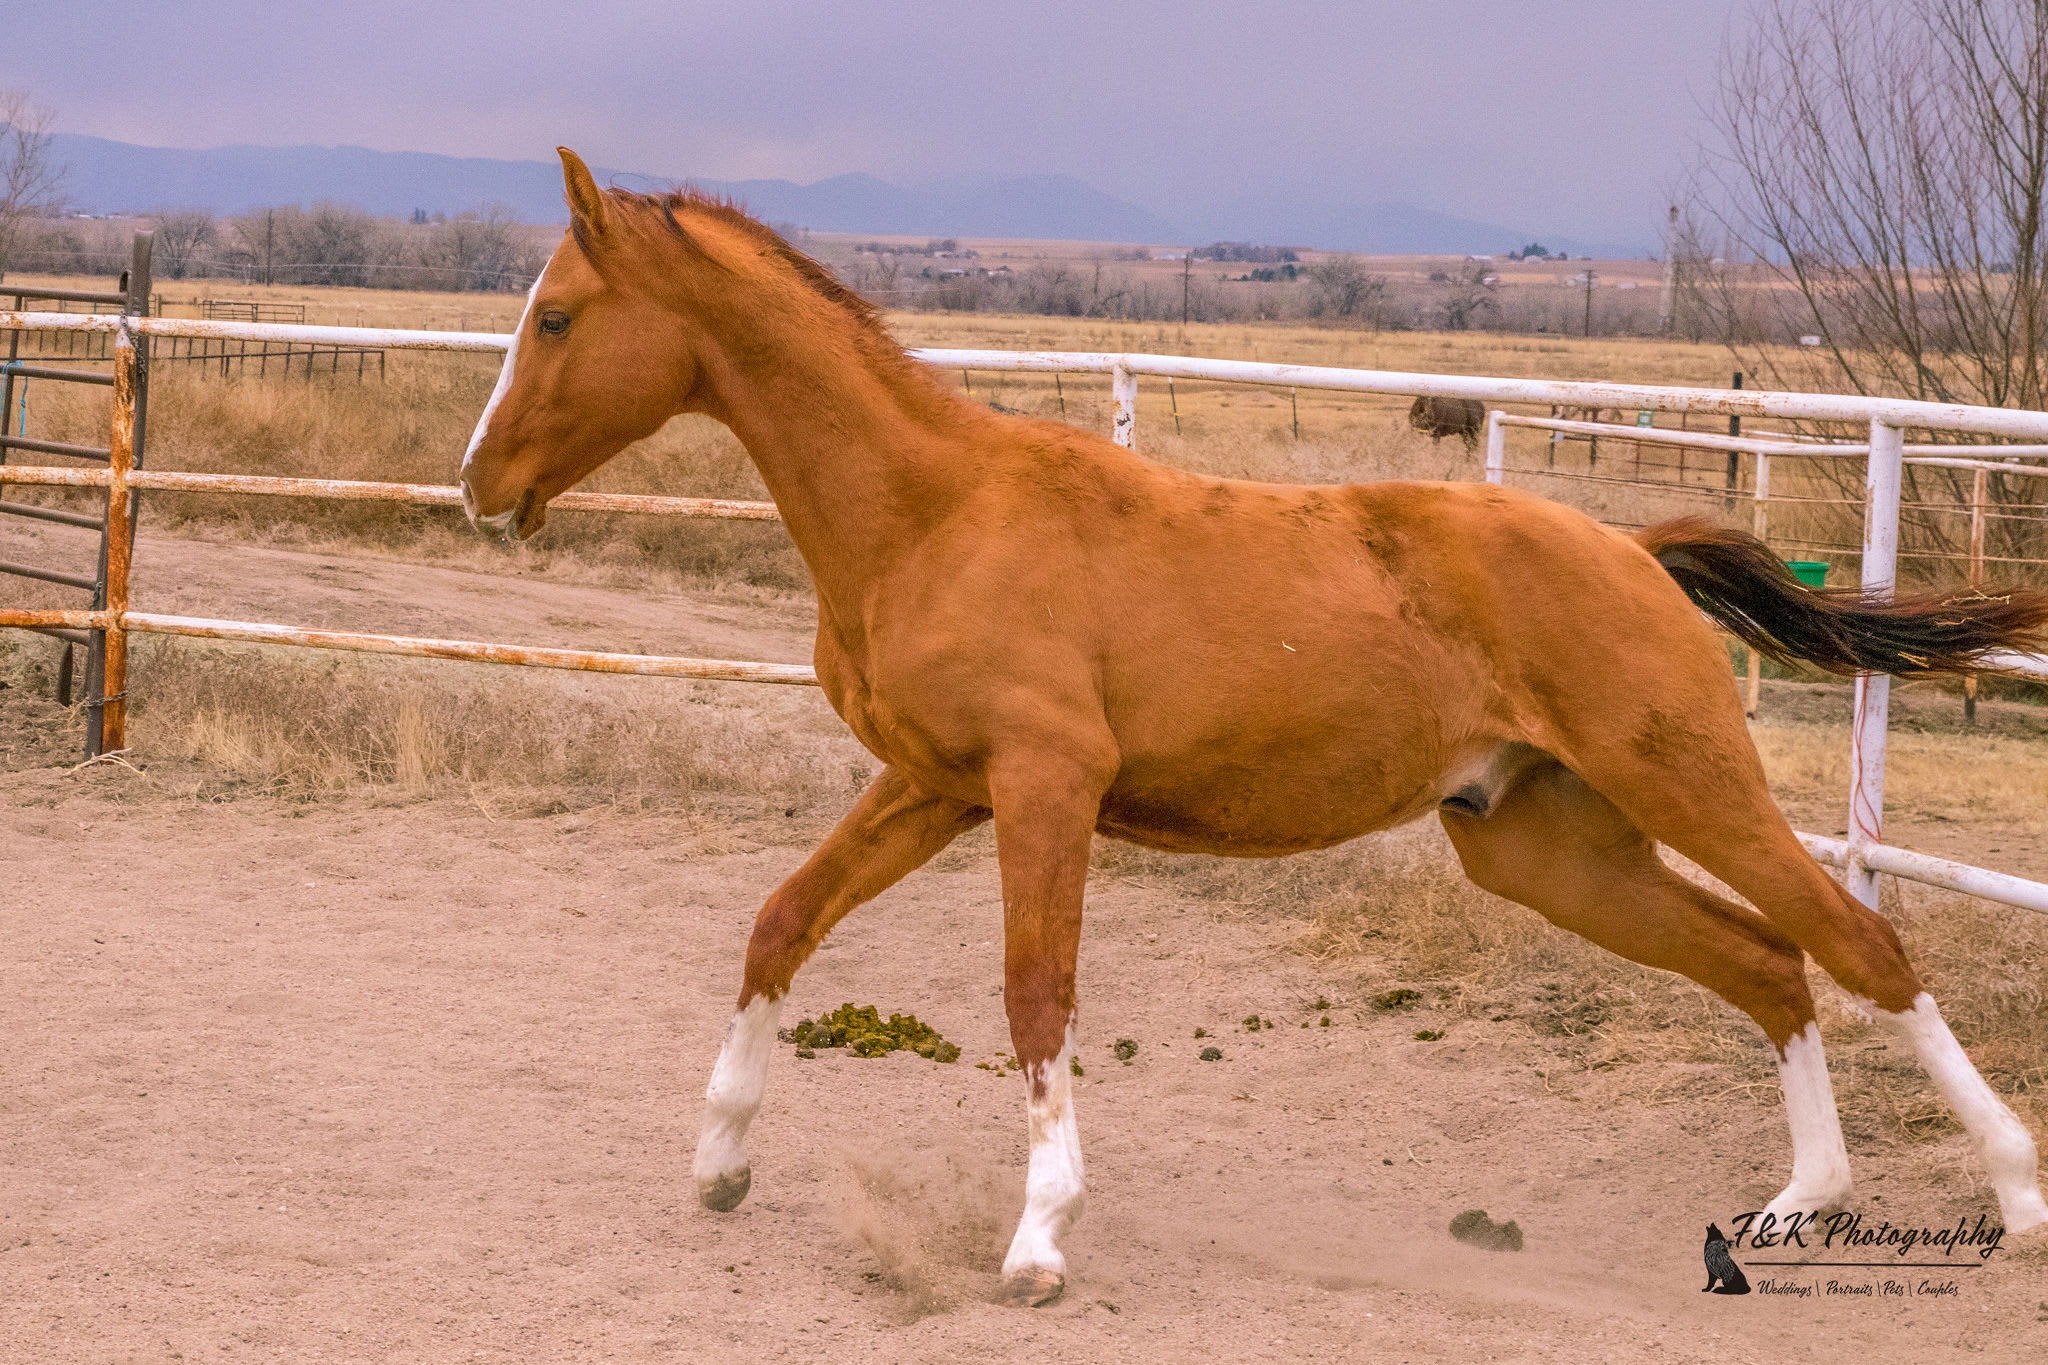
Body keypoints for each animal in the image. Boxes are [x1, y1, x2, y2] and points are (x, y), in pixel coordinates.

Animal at [458, 149, 2048, 1306]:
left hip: (1685, 784)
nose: (478, 488)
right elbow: (781, 922)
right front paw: (720, 1166)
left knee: (1862, 945)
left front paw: (1038, 1243)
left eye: (554, 316)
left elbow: (1036, 995)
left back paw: (2014, 1197)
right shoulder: (932, 785)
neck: (931, 517)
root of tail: (1630, 549)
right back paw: (1792, 1212)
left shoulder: (1043, 786)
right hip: (1546, 848)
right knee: (1768, 962)